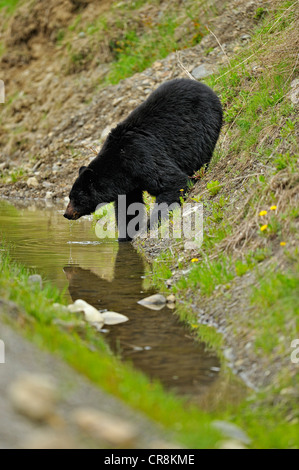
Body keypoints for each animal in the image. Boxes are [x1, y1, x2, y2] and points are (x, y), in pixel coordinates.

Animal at [64, 78, 224, 241]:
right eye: (70, 196)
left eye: (76, 198)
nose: (66, 214)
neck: (119, 165)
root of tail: (203, 86)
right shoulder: (128, 183)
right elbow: (127, 206)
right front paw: (125, 235)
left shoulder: (141, 158)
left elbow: (173, 182)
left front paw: (150, 224)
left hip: (203, 126)